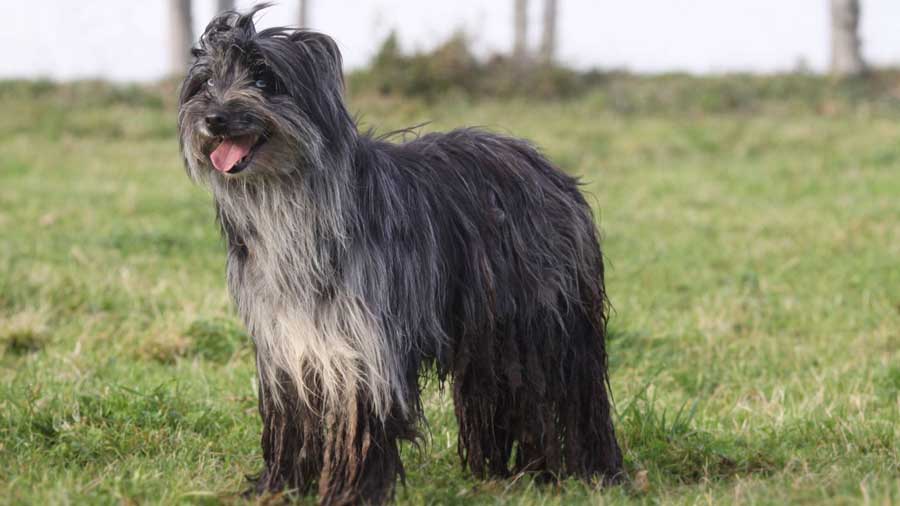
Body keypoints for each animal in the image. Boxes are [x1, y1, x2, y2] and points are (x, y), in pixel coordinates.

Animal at [179, 5, 624, 504]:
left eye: (263, 77)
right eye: (206, 82)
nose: (214, 118)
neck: (291, 201)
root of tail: (549, 170)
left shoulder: (365, 344)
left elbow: (361, 423)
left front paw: (350, 492)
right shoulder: (287, 344)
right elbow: (293, 419)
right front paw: (279, 486)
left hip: (547, 325)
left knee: (573, 396)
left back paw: (590, 470)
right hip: (493, 335)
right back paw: (510, 472)